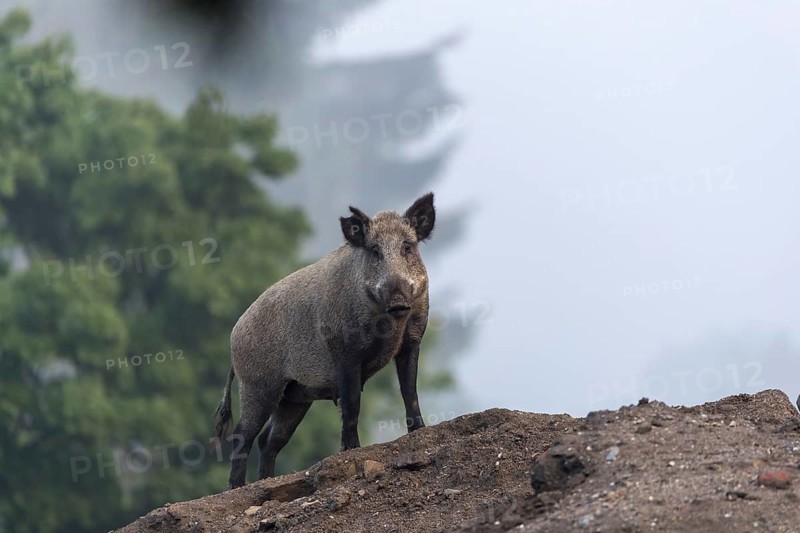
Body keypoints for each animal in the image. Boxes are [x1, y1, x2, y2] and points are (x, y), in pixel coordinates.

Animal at [214, 193, 436, 488]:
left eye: (407, 246)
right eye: (374, 250)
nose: (398, 299)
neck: (390, 324)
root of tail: (234, 335)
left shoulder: (412, 340)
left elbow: (409, 390)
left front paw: (420, 430)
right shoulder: (345, 351)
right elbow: (352, 402)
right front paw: (352, 449)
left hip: (294, 398)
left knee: (268, 440)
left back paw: (268, 479)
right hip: (258, 384)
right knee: (241, 435)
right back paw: (239, 486)